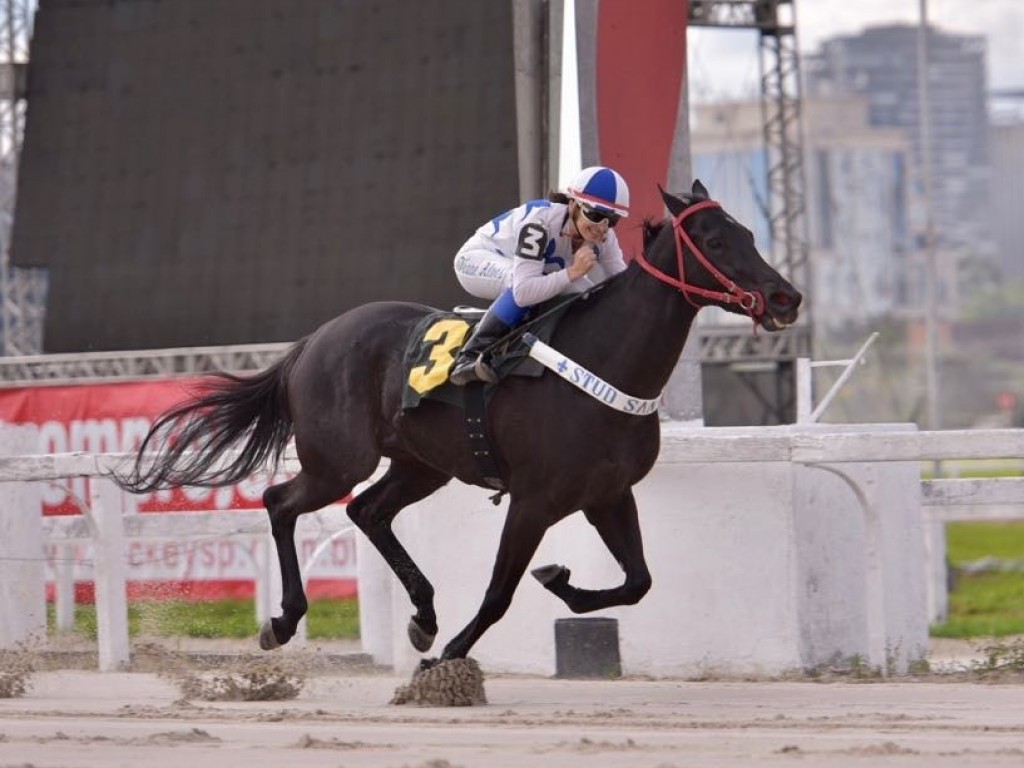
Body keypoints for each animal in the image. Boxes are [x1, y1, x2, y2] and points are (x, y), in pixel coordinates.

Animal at [112, 183, 798, 663]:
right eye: (714, 242)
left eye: (746, 232)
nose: (786, 297)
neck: (607, 361)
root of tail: (312, 341)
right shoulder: (535, 498)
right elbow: (500, 592)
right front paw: (454, 653)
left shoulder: (606, 493)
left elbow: (638, 582)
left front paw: (559, 583)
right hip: (340, 458)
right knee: (282, 501)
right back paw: (284, 622)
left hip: (421, 464)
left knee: (368, 512)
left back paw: (422, 616)